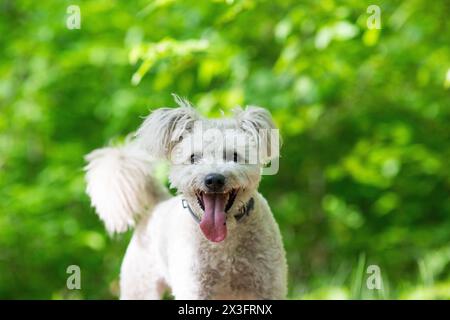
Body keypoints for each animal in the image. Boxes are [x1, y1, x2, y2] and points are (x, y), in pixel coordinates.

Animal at [85, 95, 288, 300]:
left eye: (234, 156)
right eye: (193, 157)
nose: (214, 179)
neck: (223, 242)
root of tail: (159, 203)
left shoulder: (268, 288)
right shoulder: (195, 289)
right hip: (139, 287)